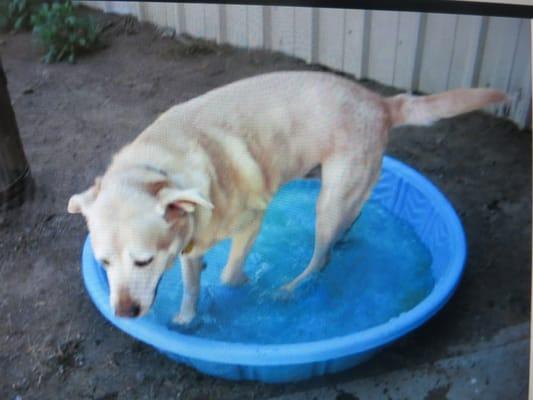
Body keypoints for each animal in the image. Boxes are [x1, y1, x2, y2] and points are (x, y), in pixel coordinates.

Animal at [66, 70, 502, 324]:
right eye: (103, 262)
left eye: (143, 261)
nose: (124, 313)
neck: (159, 167)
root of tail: (380, 102)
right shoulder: (189, 246)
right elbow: (191, 287)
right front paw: (187, 319)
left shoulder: (250, 224)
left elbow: (228, 274)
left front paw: (241, 286)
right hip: (349, 190)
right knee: (350, 222)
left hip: (328, 202)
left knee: (321, 258)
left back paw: (290, 289)